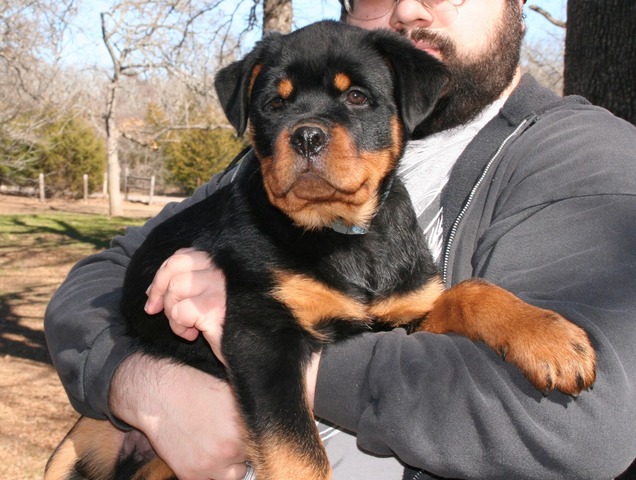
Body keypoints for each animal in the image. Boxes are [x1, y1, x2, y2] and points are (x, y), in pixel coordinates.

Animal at [46, 20, 596, 480]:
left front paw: (552, 338)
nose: (307, 135)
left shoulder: (404, 314)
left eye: (356, 96)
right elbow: (298, 453)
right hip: (79, 446)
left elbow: (472, 291)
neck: (342, 234)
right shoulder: (260, 332)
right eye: (273, 104)